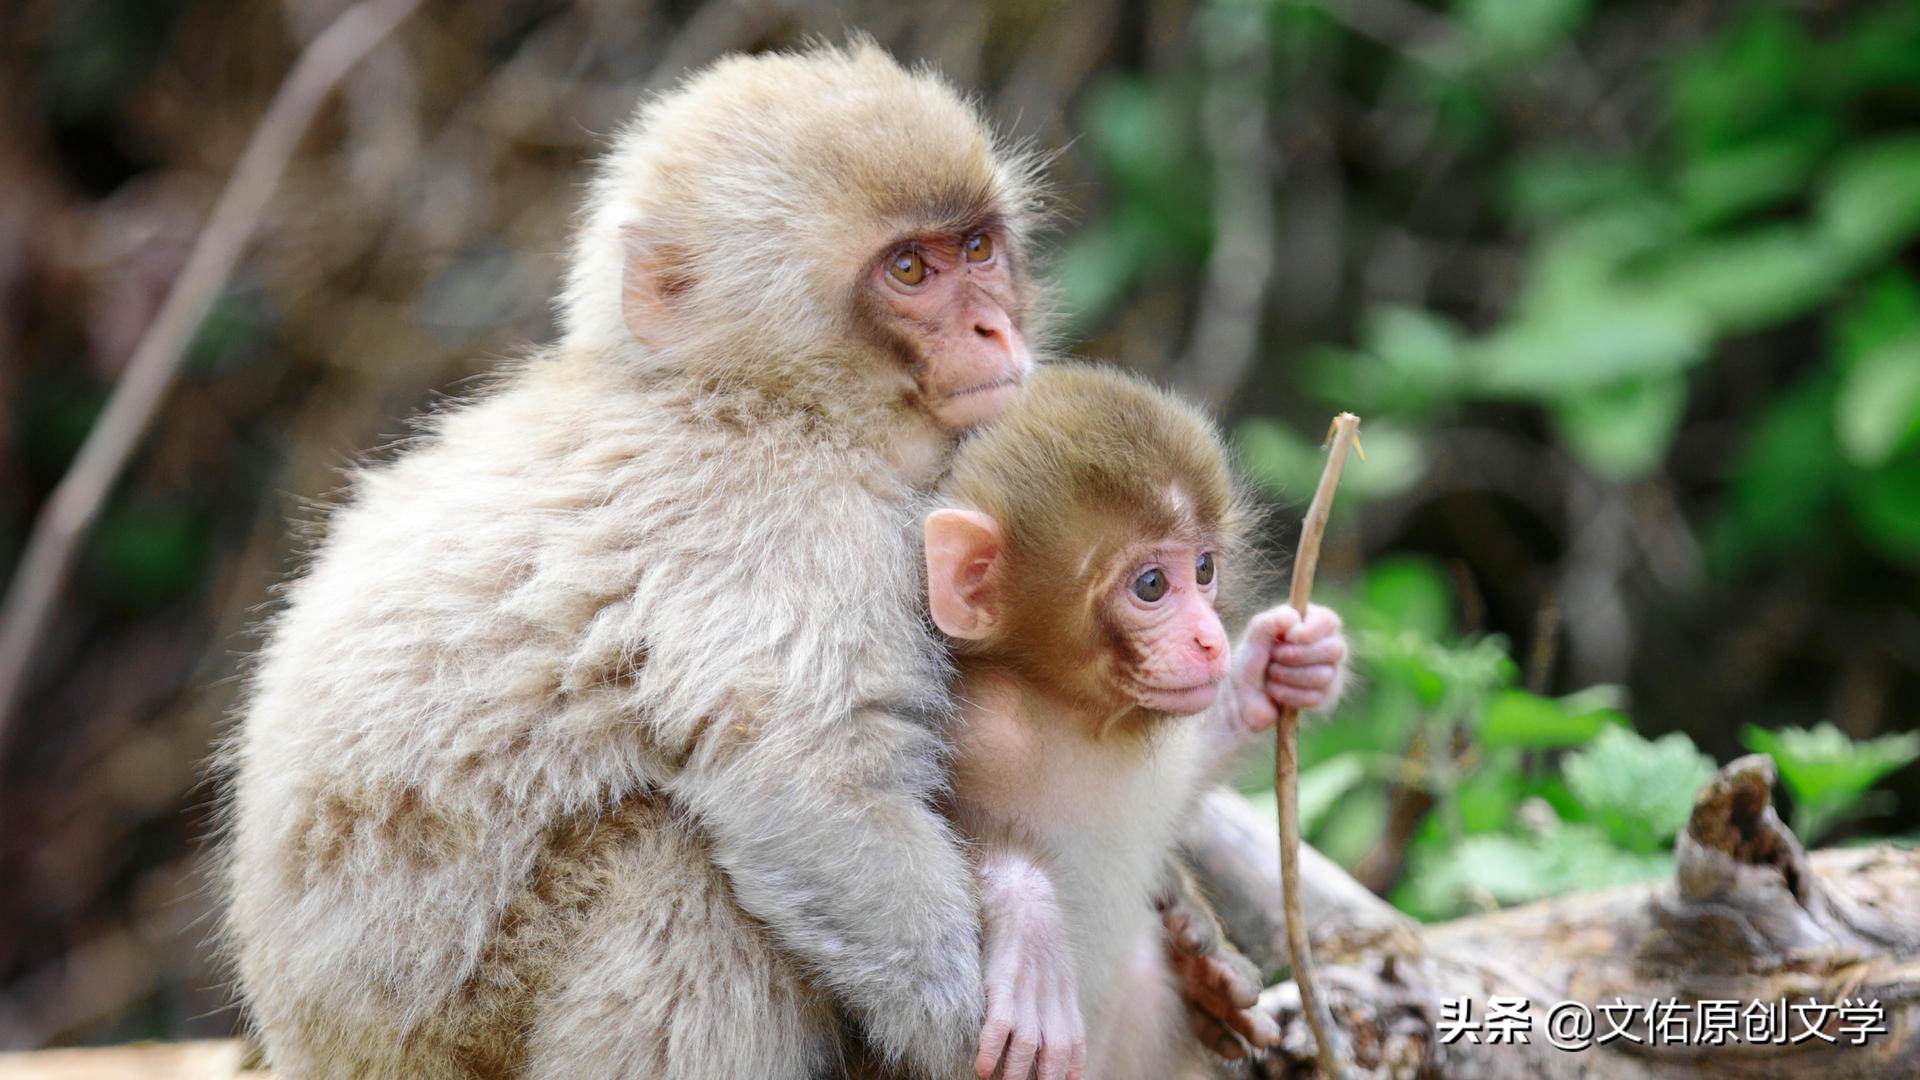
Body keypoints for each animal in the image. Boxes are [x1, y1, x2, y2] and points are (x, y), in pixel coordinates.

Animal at [224, 44, 1059, 1076]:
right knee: (681, 874)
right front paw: (963, 1031)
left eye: (977, 250)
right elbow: (807, 786)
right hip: (444, 1023)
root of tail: (304, 1038)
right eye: (910, 268)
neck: (750, 398)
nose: (994, 329)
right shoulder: (788, 522)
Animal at [917, 363, 1344, 1076]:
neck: (1066, 711)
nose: (1210, 640)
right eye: (1150, 586)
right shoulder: (974, 718)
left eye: (1203, 569)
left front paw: (1276, 667)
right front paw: (1026, 915)